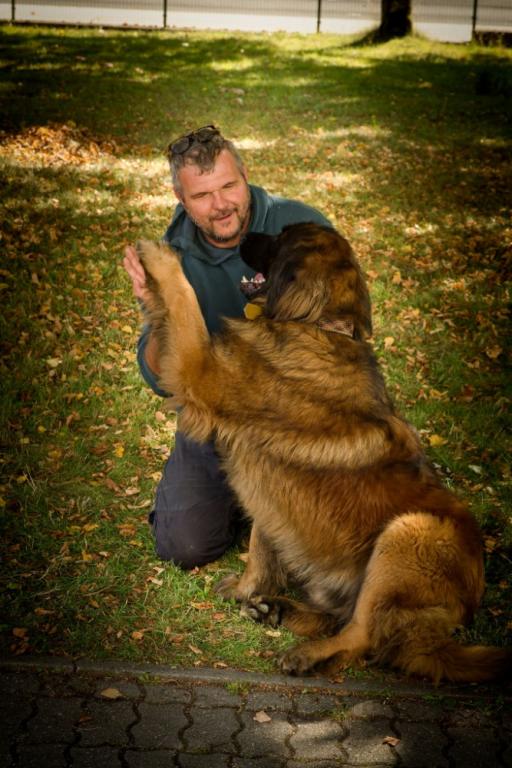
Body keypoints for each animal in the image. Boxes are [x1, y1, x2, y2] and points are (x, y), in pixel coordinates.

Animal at [137, 222, 510, 683]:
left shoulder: (202, 370)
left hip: (406, 535)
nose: (246, 232)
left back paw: (307, 653)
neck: (317, 325)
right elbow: (261, 545)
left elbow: (184, 299)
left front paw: (159, 258)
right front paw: (248, 589)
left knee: (364, 634)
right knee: (345, 619)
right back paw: (277, 609)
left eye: (280, 237)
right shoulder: (268, 486)